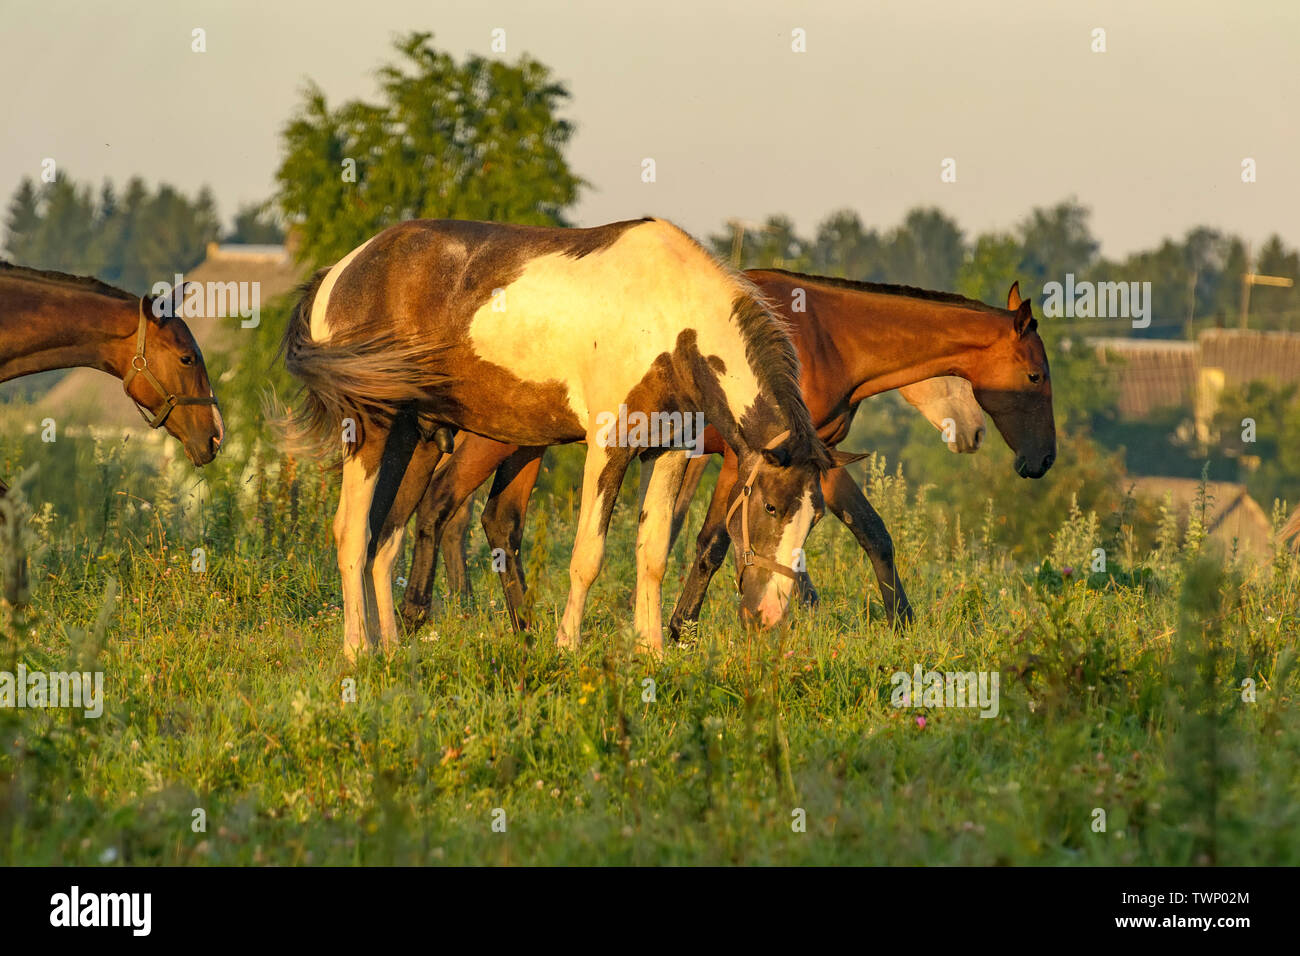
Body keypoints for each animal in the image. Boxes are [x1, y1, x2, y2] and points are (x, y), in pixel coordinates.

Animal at [281, 218, 848, 662]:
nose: (769, 614)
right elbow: (588, 557)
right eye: (770, 507)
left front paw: (651, 653)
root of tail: (340, 271)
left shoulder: (667, 452)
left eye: (815, 517)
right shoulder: (609, 447)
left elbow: (652, 554)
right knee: (351, 533)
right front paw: (567, 646)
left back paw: (393, 647)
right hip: (370, 428)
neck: (671, 325)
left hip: (415, 436)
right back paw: (357, 650)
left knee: (385, 540)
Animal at [391, 274, 1055, 636]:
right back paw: (424, 615)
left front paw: (894, 622)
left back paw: (522, 628)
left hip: (526, 442)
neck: (824, 336)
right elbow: (714, 542)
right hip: (496, 438)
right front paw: (683, 627)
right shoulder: (749, 458)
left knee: (494, 521)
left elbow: (868, 532)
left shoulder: (818, 461)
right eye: (1035, 376)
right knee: (444, 505)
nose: (1040, 461)